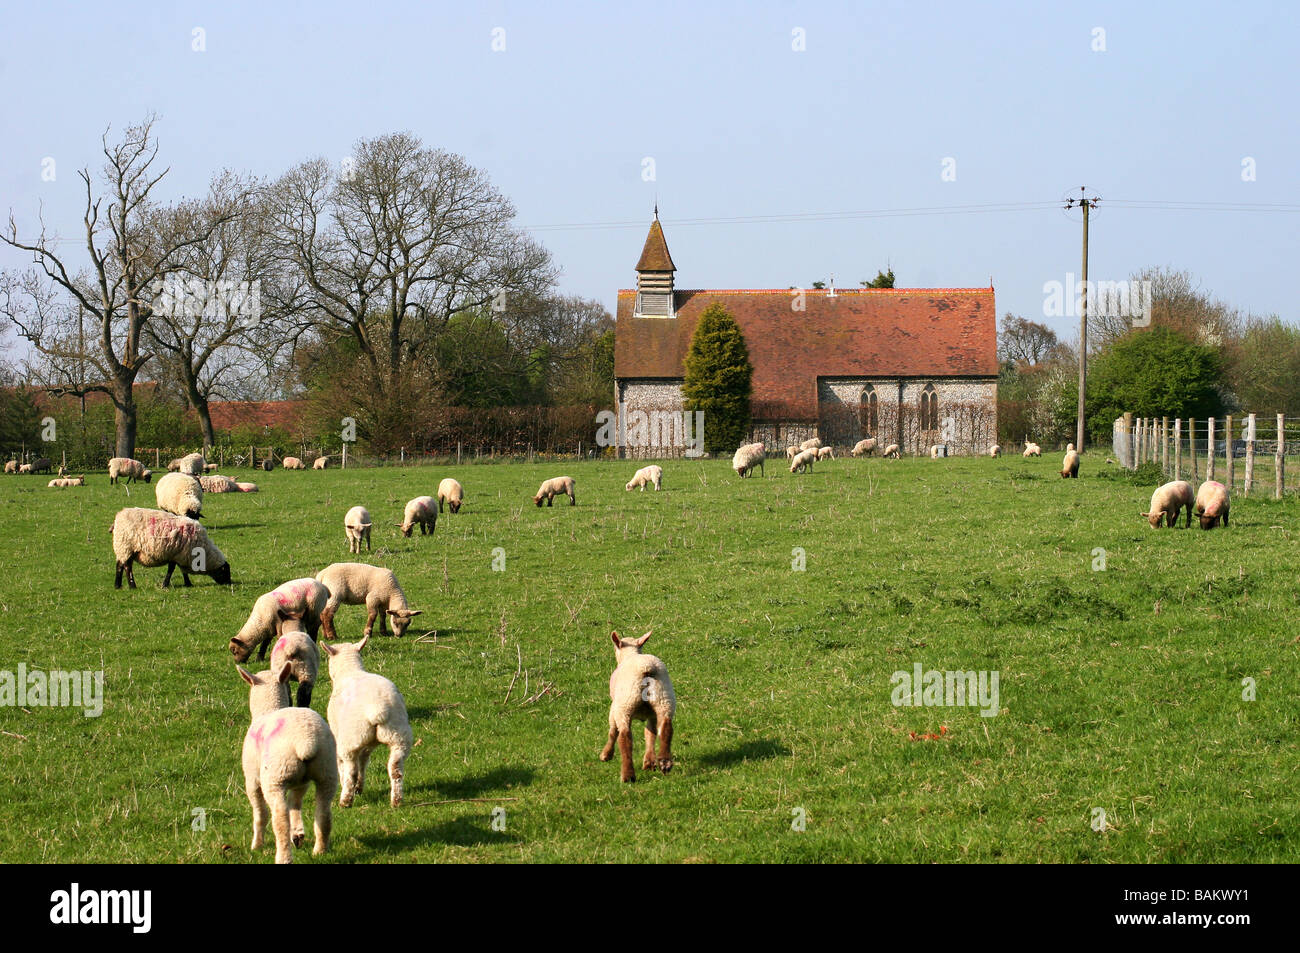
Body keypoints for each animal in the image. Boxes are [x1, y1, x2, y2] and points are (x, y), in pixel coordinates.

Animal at [239, 660, 338, 863]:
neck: (269, 707)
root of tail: (306, 741)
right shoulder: (301, 782)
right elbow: (295, 802)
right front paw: (298, 833)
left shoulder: (251, 779)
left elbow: (260, 813)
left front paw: (256, 845)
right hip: (327, 770)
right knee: (323, 813)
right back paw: (320, 850)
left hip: (275, 777)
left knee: (279, 817)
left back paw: (283, 856)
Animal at [319, 634, 410, 806]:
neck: (350, 670)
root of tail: (378, 709)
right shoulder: (368, 744)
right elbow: (364, 761)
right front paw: (359, 788)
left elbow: (343, 765)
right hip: (399, 736)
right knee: (396, 769)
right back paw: (396, 801)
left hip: (351, 739)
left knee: (351, 771)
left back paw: (345, 801)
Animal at [600, 631, 676, 780]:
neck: (630, 654)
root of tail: (646, 669)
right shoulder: (652, 715)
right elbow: (650, 733)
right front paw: (649, 762)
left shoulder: (614, 708)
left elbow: (613, 731)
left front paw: (606, 754)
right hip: (664, 699)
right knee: (666, 728)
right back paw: (664, 762)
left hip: (625, 704)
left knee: (625, 737)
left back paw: (628, 775)